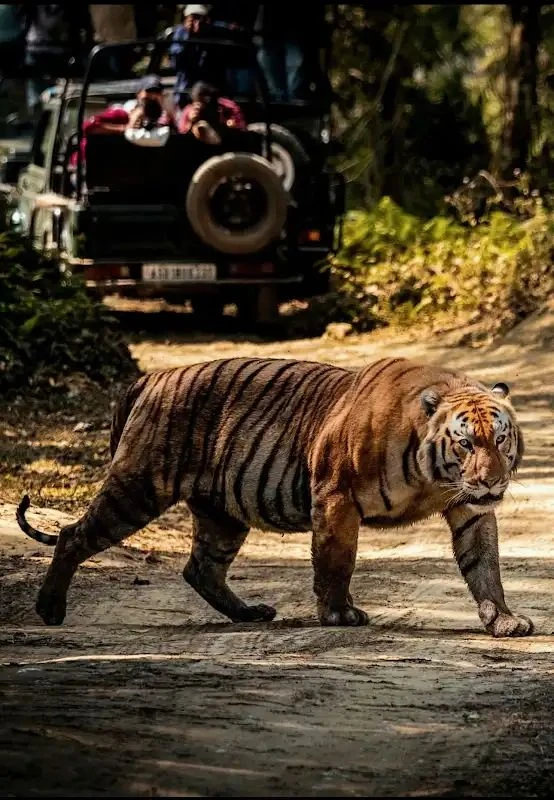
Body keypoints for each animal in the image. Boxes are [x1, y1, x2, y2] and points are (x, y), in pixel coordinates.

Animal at [16, 356, 533, 638]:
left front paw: (504, 621)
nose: (491, 482)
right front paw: (339, 614)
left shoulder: (470, 511)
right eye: (465, 443)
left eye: (499, 439)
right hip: (137, 488)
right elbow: (336, 561)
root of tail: (153, 377)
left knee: (201, 568)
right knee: (72, 534)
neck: (435, 478)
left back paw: (249, 613)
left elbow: (485, 567)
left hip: (221, 513)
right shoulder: (336, 497)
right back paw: (50, 609)